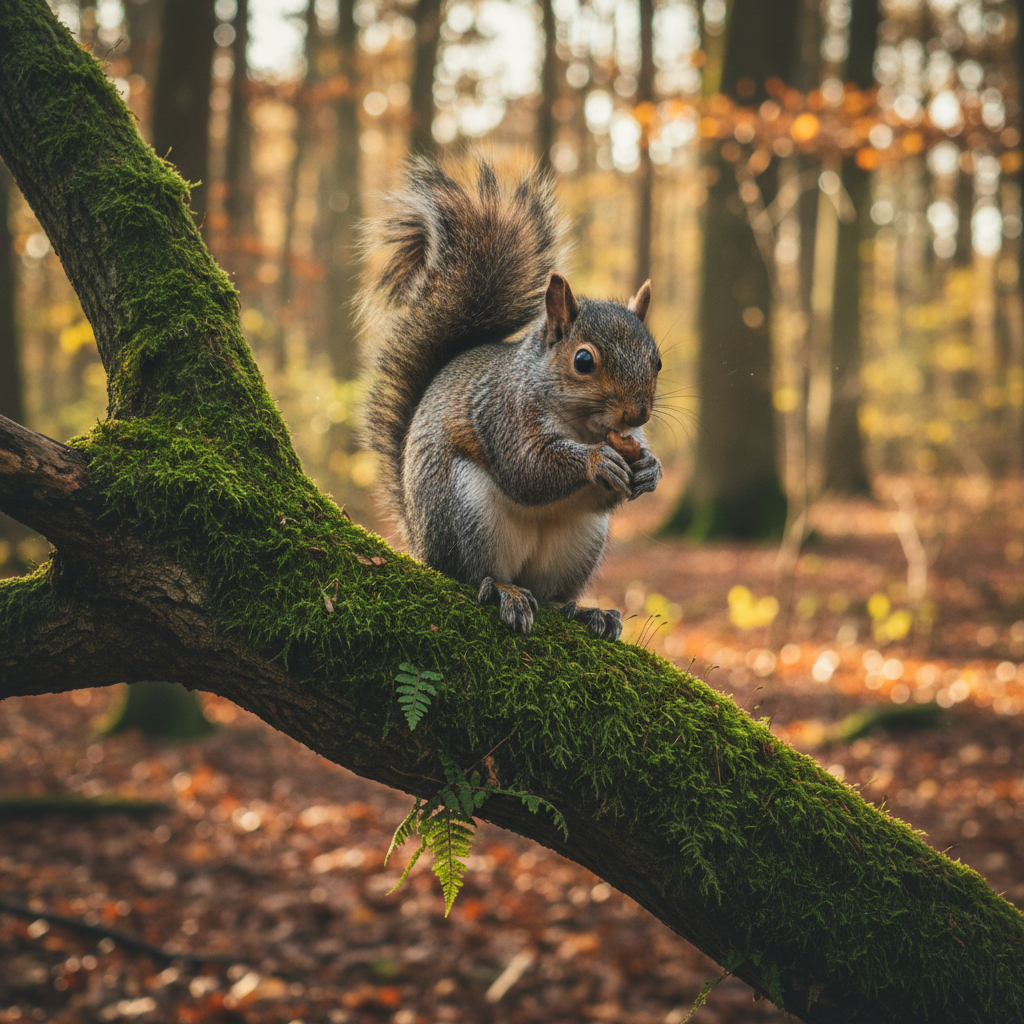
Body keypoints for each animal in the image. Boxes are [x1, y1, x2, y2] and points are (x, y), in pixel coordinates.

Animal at [359, 159, 662, 639]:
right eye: (583, 361)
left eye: (658, 362)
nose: (639, 413)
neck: (583, 427)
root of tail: (421, 543)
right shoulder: (503, 412)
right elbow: (527, 469)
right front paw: (597, 461)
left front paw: (650, 469)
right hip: (465, 512)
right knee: (474, 575)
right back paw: (505, 591)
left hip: (581, 544)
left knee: (554, 595)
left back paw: (585, 611)